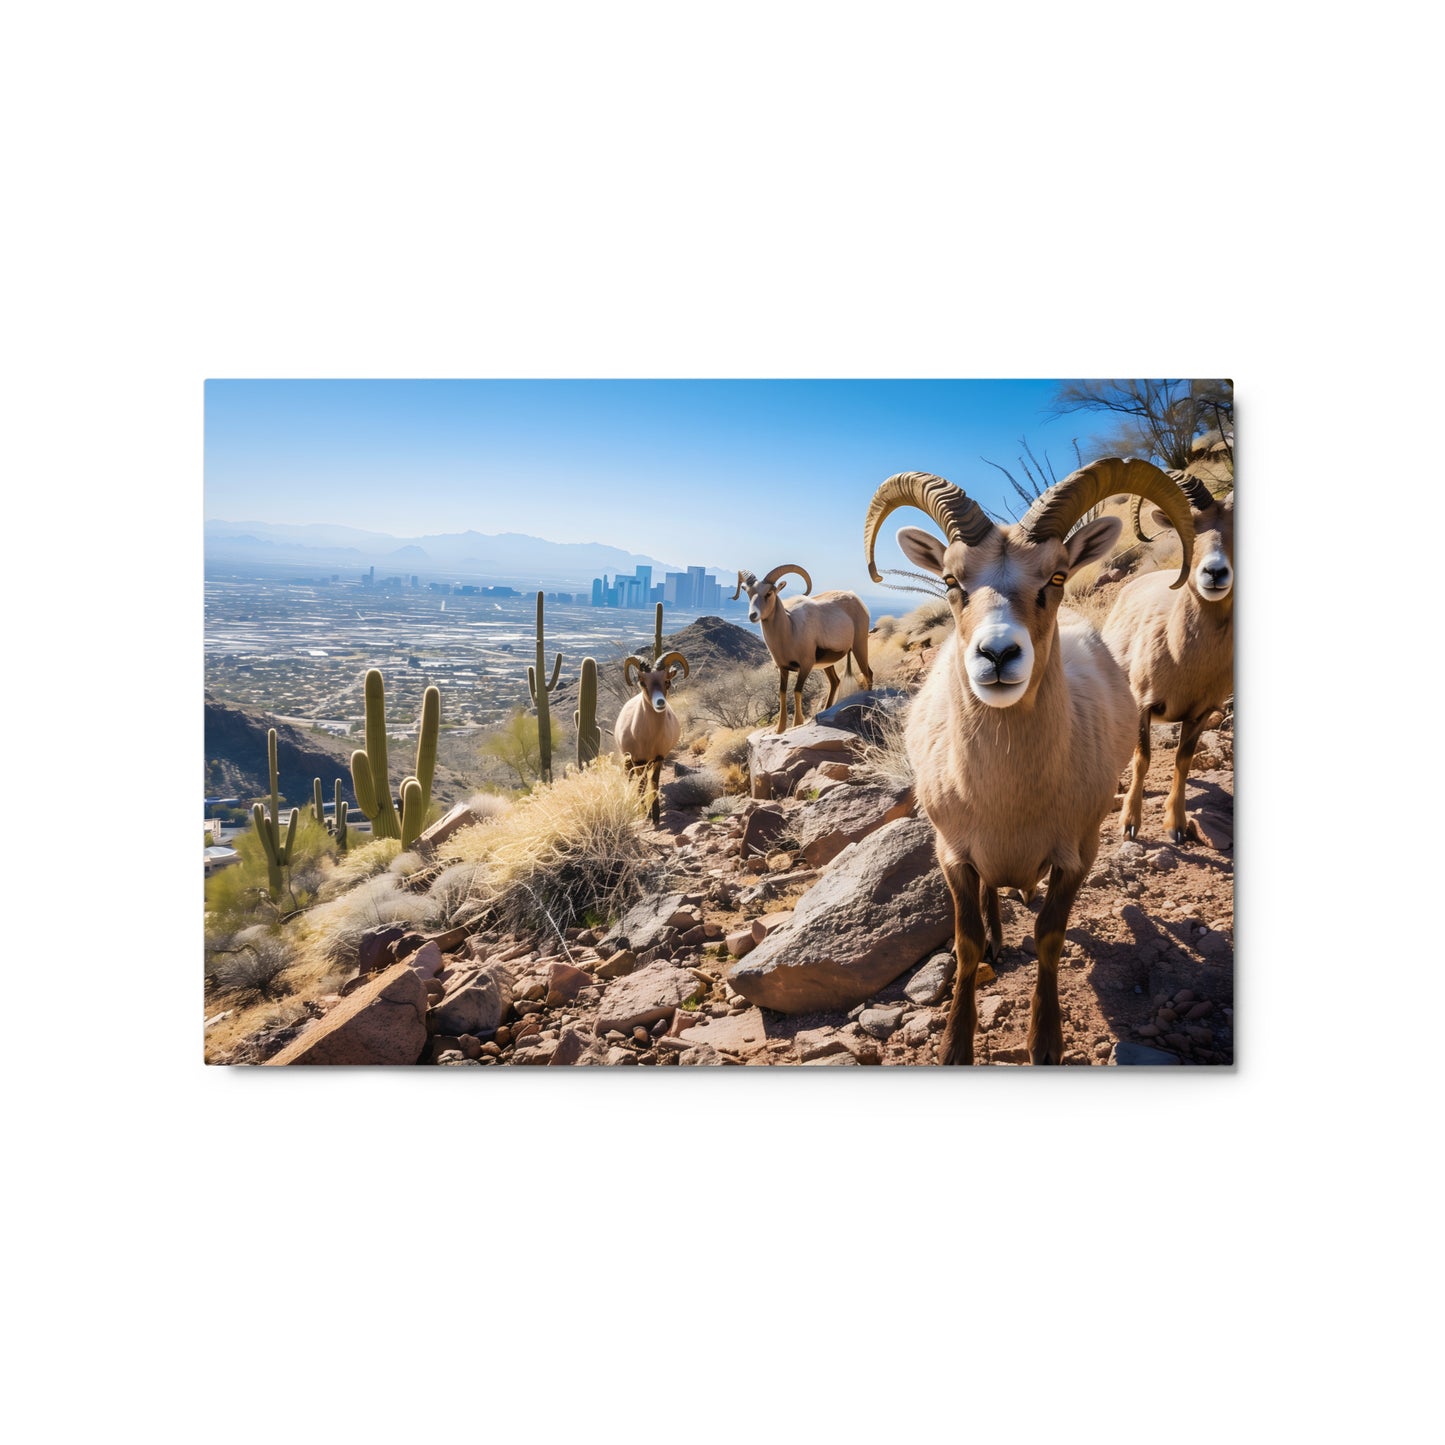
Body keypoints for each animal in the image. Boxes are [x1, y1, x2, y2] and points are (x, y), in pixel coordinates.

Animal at [613, 650, 690, 825]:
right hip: (629, 760)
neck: (647, 738)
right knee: (631, 779)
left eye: (667, 681)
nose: (659, 702)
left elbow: (653, 784)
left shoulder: (658, 759)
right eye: (642, 682)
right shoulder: (637, 760)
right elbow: (641, 786)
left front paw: (655, 815)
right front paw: (645, 813)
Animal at [730, 564, 873, 733]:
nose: (753, 615)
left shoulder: (805, 666)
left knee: (868, 674)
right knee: (835, 682)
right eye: (748, 592)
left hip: (859, 646)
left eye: (769, 593)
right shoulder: (783, 668)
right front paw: (780, 729)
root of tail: (855, 598)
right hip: (828, 664)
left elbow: (797, 691)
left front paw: (797, 723)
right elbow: (782, 692)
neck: (790, 628)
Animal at [862, 459, 1197, 1065]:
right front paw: (955, 1046)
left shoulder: (1077, 857)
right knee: (992, 897)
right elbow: (967, 943)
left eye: (1056, 578)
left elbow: (1050, 938)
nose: (997, 654)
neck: (1010, 799)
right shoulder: (953, 856)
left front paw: (1045, 1043)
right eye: (952, 581)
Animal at [1103, 476, 1234, 843]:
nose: (1215, 574)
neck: (1184, 659)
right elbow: (1143, 759)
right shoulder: (1142, 706)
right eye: (1188, 529)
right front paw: (1129, 825)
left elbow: (1182, 762)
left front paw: (1176, 827)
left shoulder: (1199, 714)